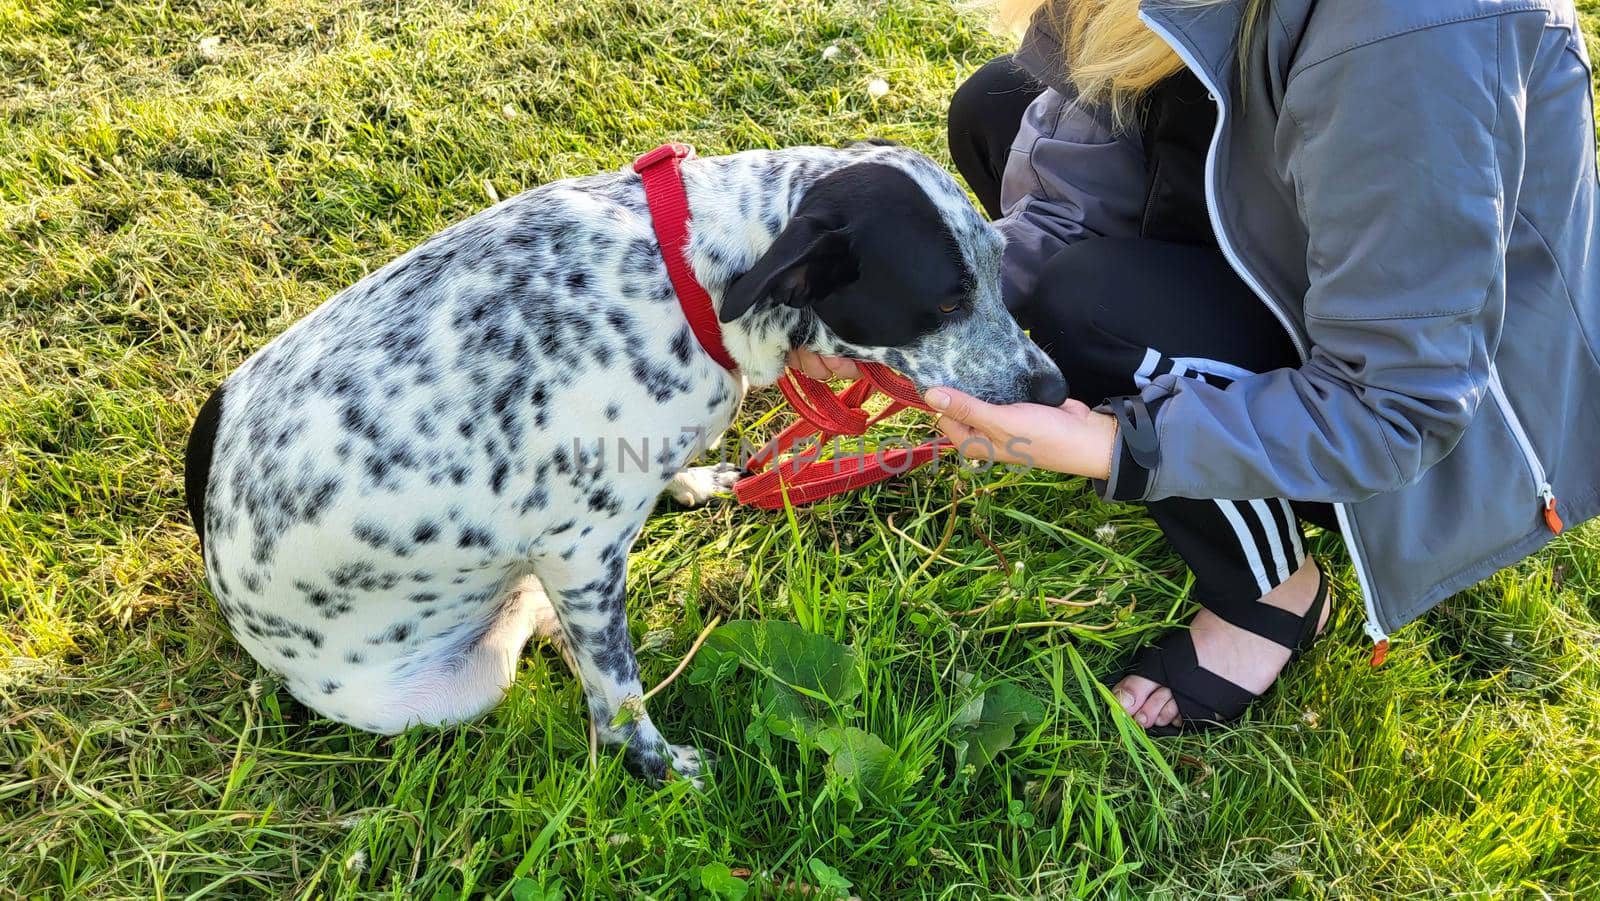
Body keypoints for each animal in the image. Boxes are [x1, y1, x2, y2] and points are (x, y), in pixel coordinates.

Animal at [184, 140, 1062, 784]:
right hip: (463, 680)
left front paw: (695, 480)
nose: (1054, 387)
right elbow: (621, 696)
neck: (687, 279)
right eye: (945, 301)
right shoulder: (581, 558)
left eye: (998, 266)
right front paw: (659, 766)